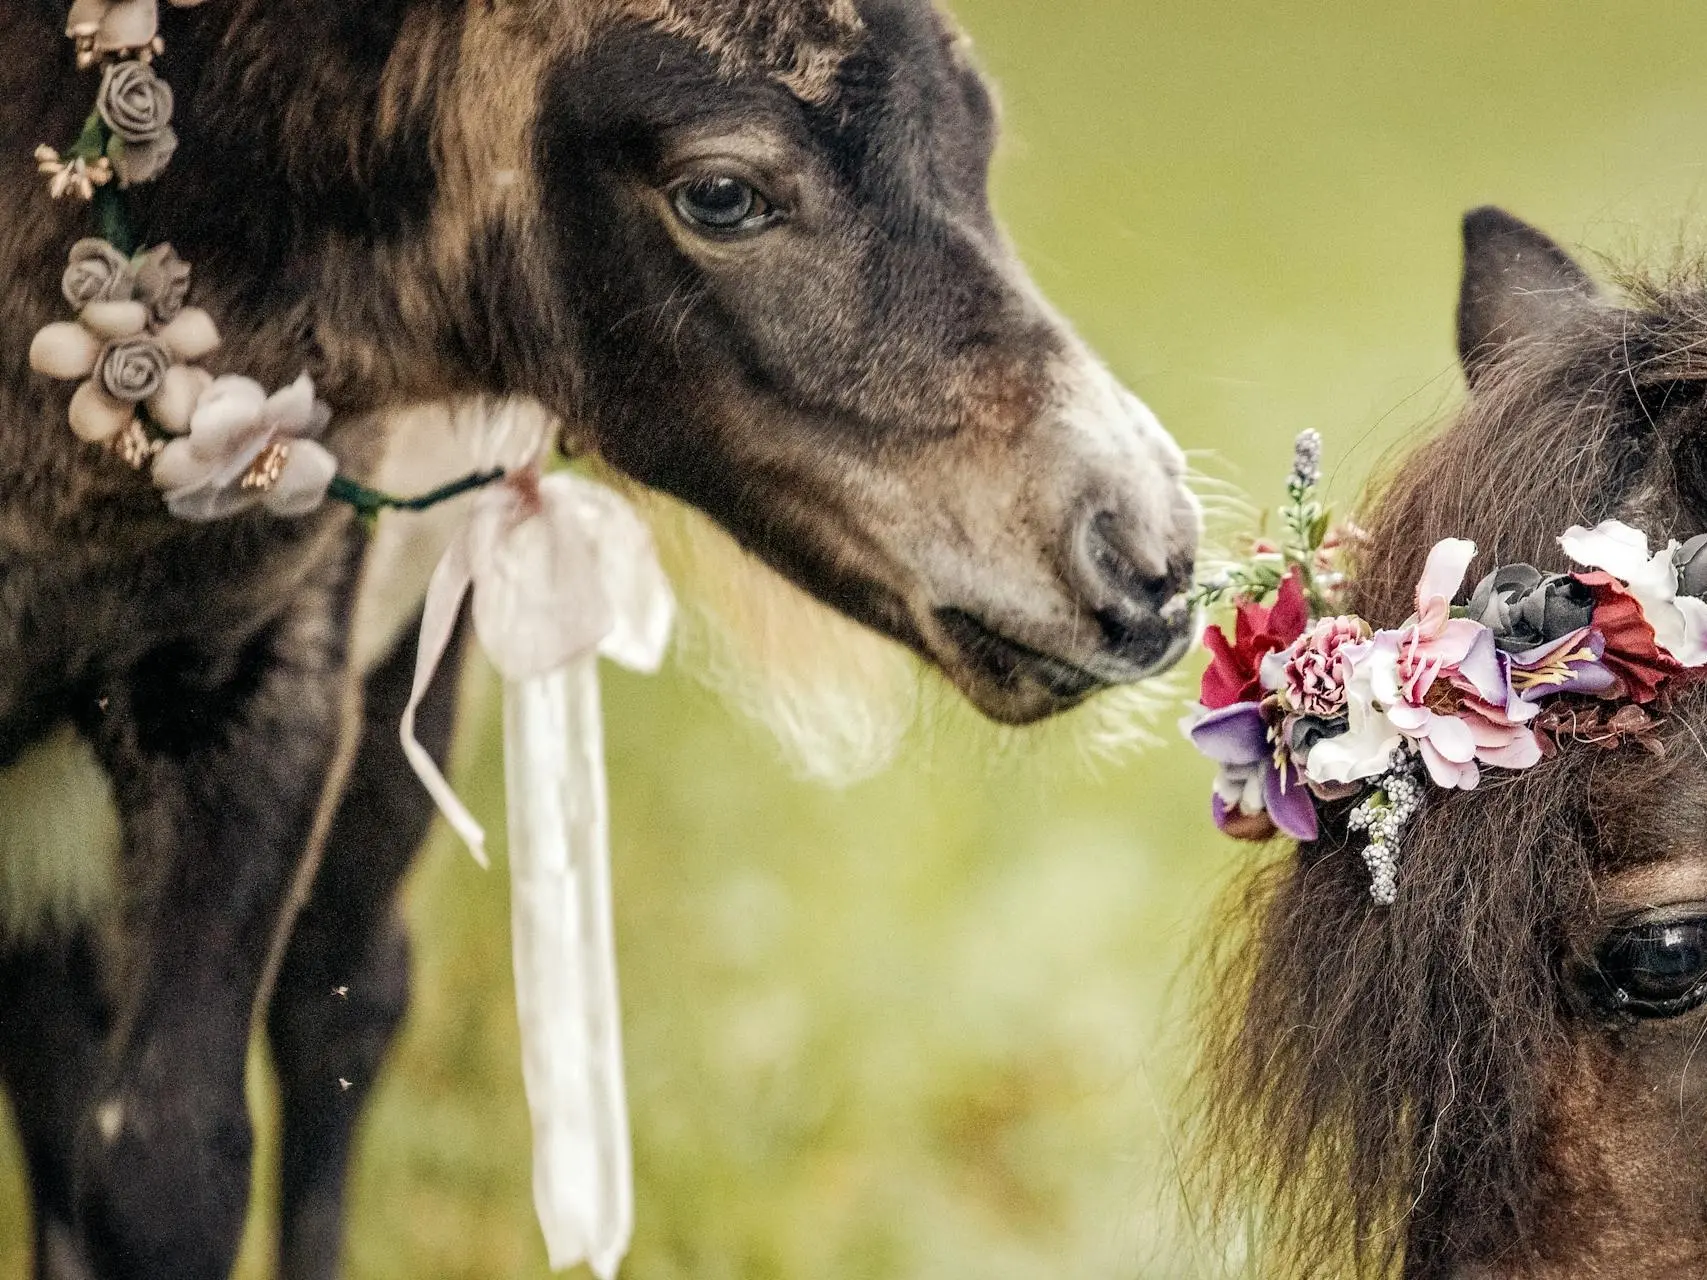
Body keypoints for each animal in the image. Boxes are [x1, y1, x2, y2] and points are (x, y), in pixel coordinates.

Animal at [3, 2, 1201, 1280]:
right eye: (720, 193)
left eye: (979, 137)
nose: (1150, 557)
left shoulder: (264, 677)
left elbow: (174, 1163)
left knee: (339, 1002)